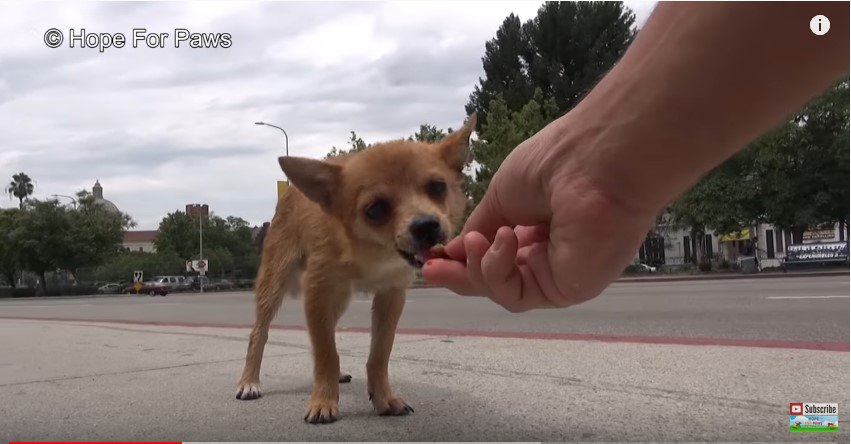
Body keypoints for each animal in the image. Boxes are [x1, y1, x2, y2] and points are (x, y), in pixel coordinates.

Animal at [236, 113, 476, 424]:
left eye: (437, 187)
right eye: (375, 208)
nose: (426, 226)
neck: (372, 254)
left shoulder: (391, 297)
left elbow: (378, 353)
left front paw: (384, 398)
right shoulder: (317, 291)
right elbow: (326, 351)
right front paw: (323, 401)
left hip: (338, 300)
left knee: (326, 331)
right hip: (275, 285)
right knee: (260, 334)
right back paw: (249, 381)